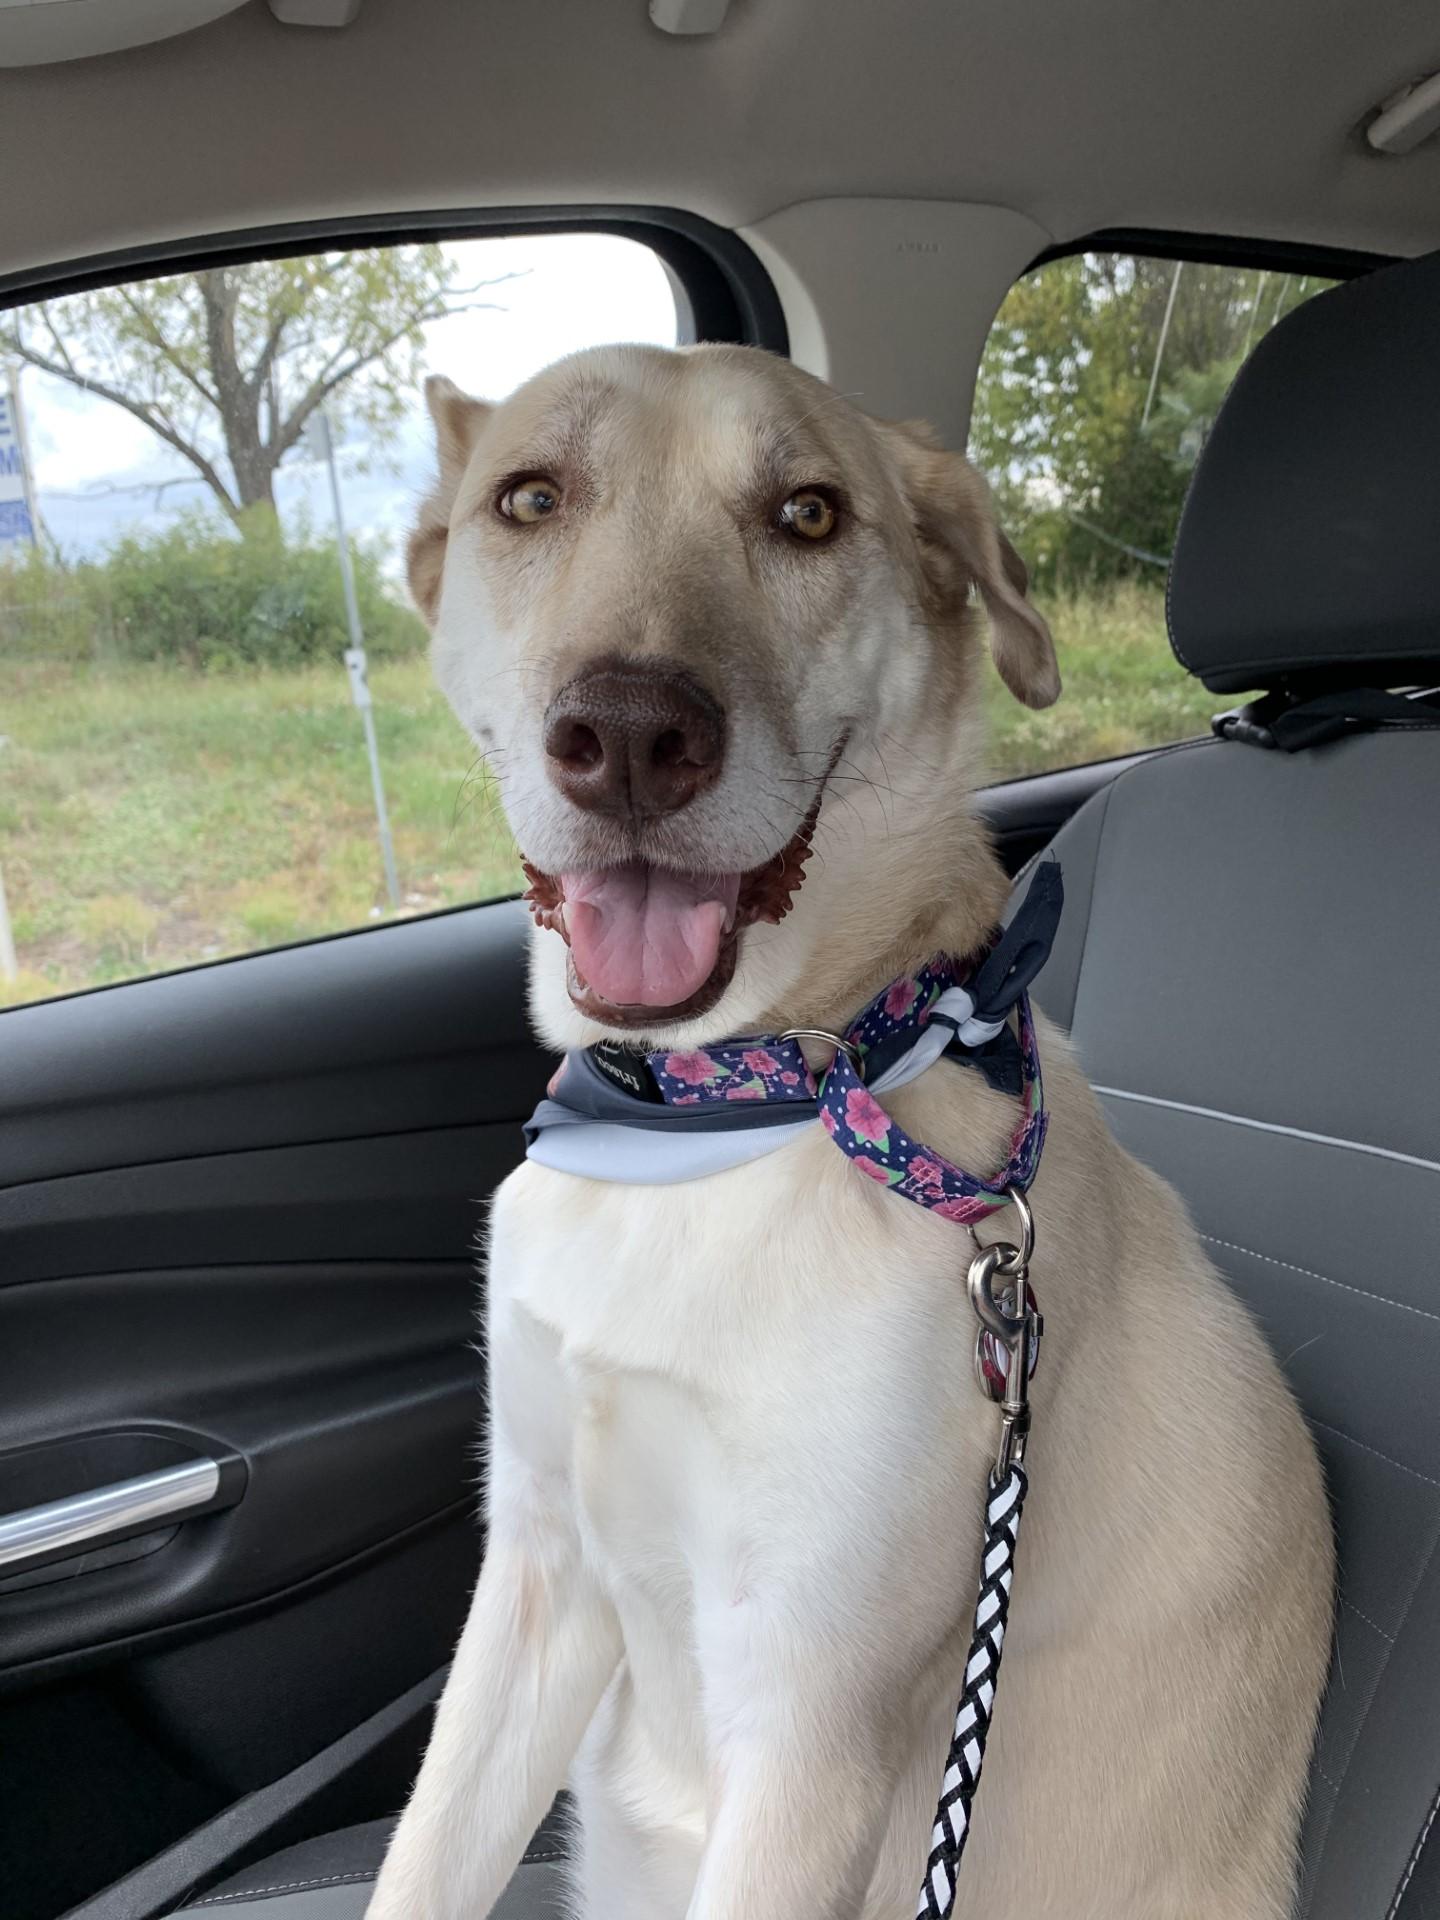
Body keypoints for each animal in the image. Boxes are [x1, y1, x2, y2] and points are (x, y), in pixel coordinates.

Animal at [367, 344, 1333, 1919]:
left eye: (807, 514)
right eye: (530, 497)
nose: (628, 738)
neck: (718, 1119)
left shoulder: (808, 1732)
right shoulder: (536, 1581)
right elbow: (424, 1861)